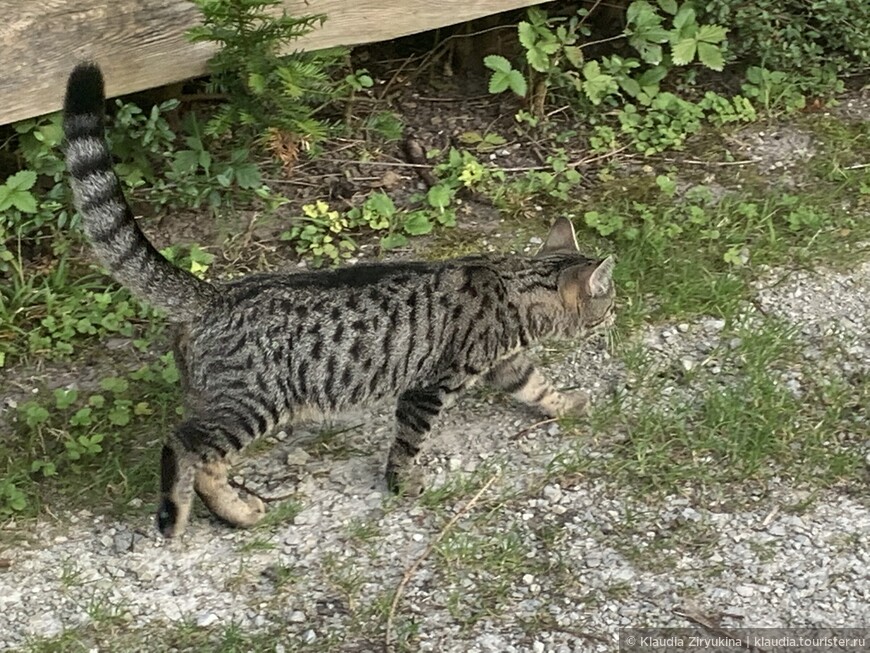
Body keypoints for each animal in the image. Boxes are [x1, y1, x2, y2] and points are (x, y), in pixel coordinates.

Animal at [63, 61, 612, 536]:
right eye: (609, 301)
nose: (615, 315)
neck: (512, 286)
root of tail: (216, 295)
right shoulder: (430, 386)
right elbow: (409, 442)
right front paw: (402, 483)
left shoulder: (507, 364)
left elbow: (538, 388)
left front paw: (568, 404)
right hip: (253, 403)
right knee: (184, 446)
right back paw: (177, 517)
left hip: (223, 400)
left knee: (206, 462)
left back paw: (236, 512)